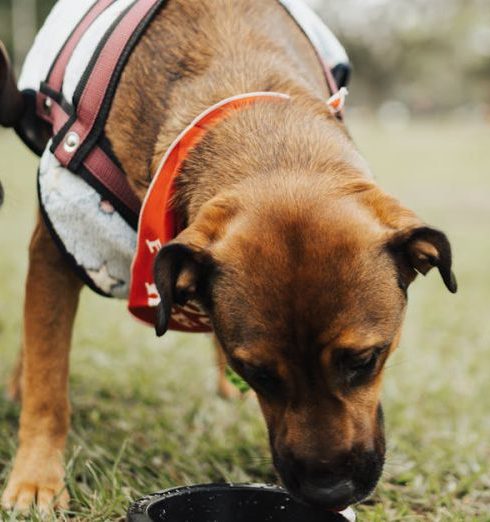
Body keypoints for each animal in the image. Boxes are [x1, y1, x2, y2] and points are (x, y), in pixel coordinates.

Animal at [0, 0, 456, 512]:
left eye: (364, 360)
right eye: (256, 371)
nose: (329, 491)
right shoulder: (58, 244)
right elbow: (48, 378)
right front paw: (36, 478)